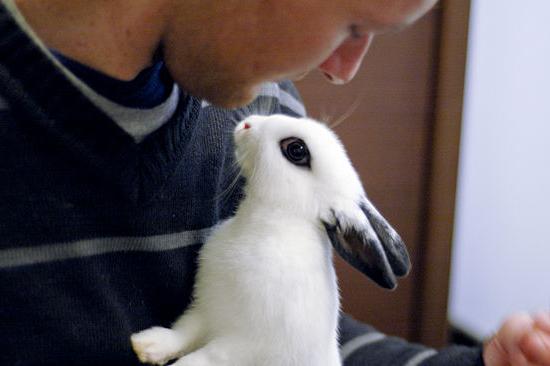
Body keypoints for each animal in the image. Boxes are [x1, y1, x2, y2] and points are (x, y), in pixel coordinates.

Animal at [132, 114, 412, 366]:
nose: (247, 123)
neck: (271, 220)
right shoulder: (206, 310)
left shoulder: (243, 345)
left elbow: (203, 359)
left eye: (296, 149)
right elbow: (182, 333)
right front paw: (145, 345)